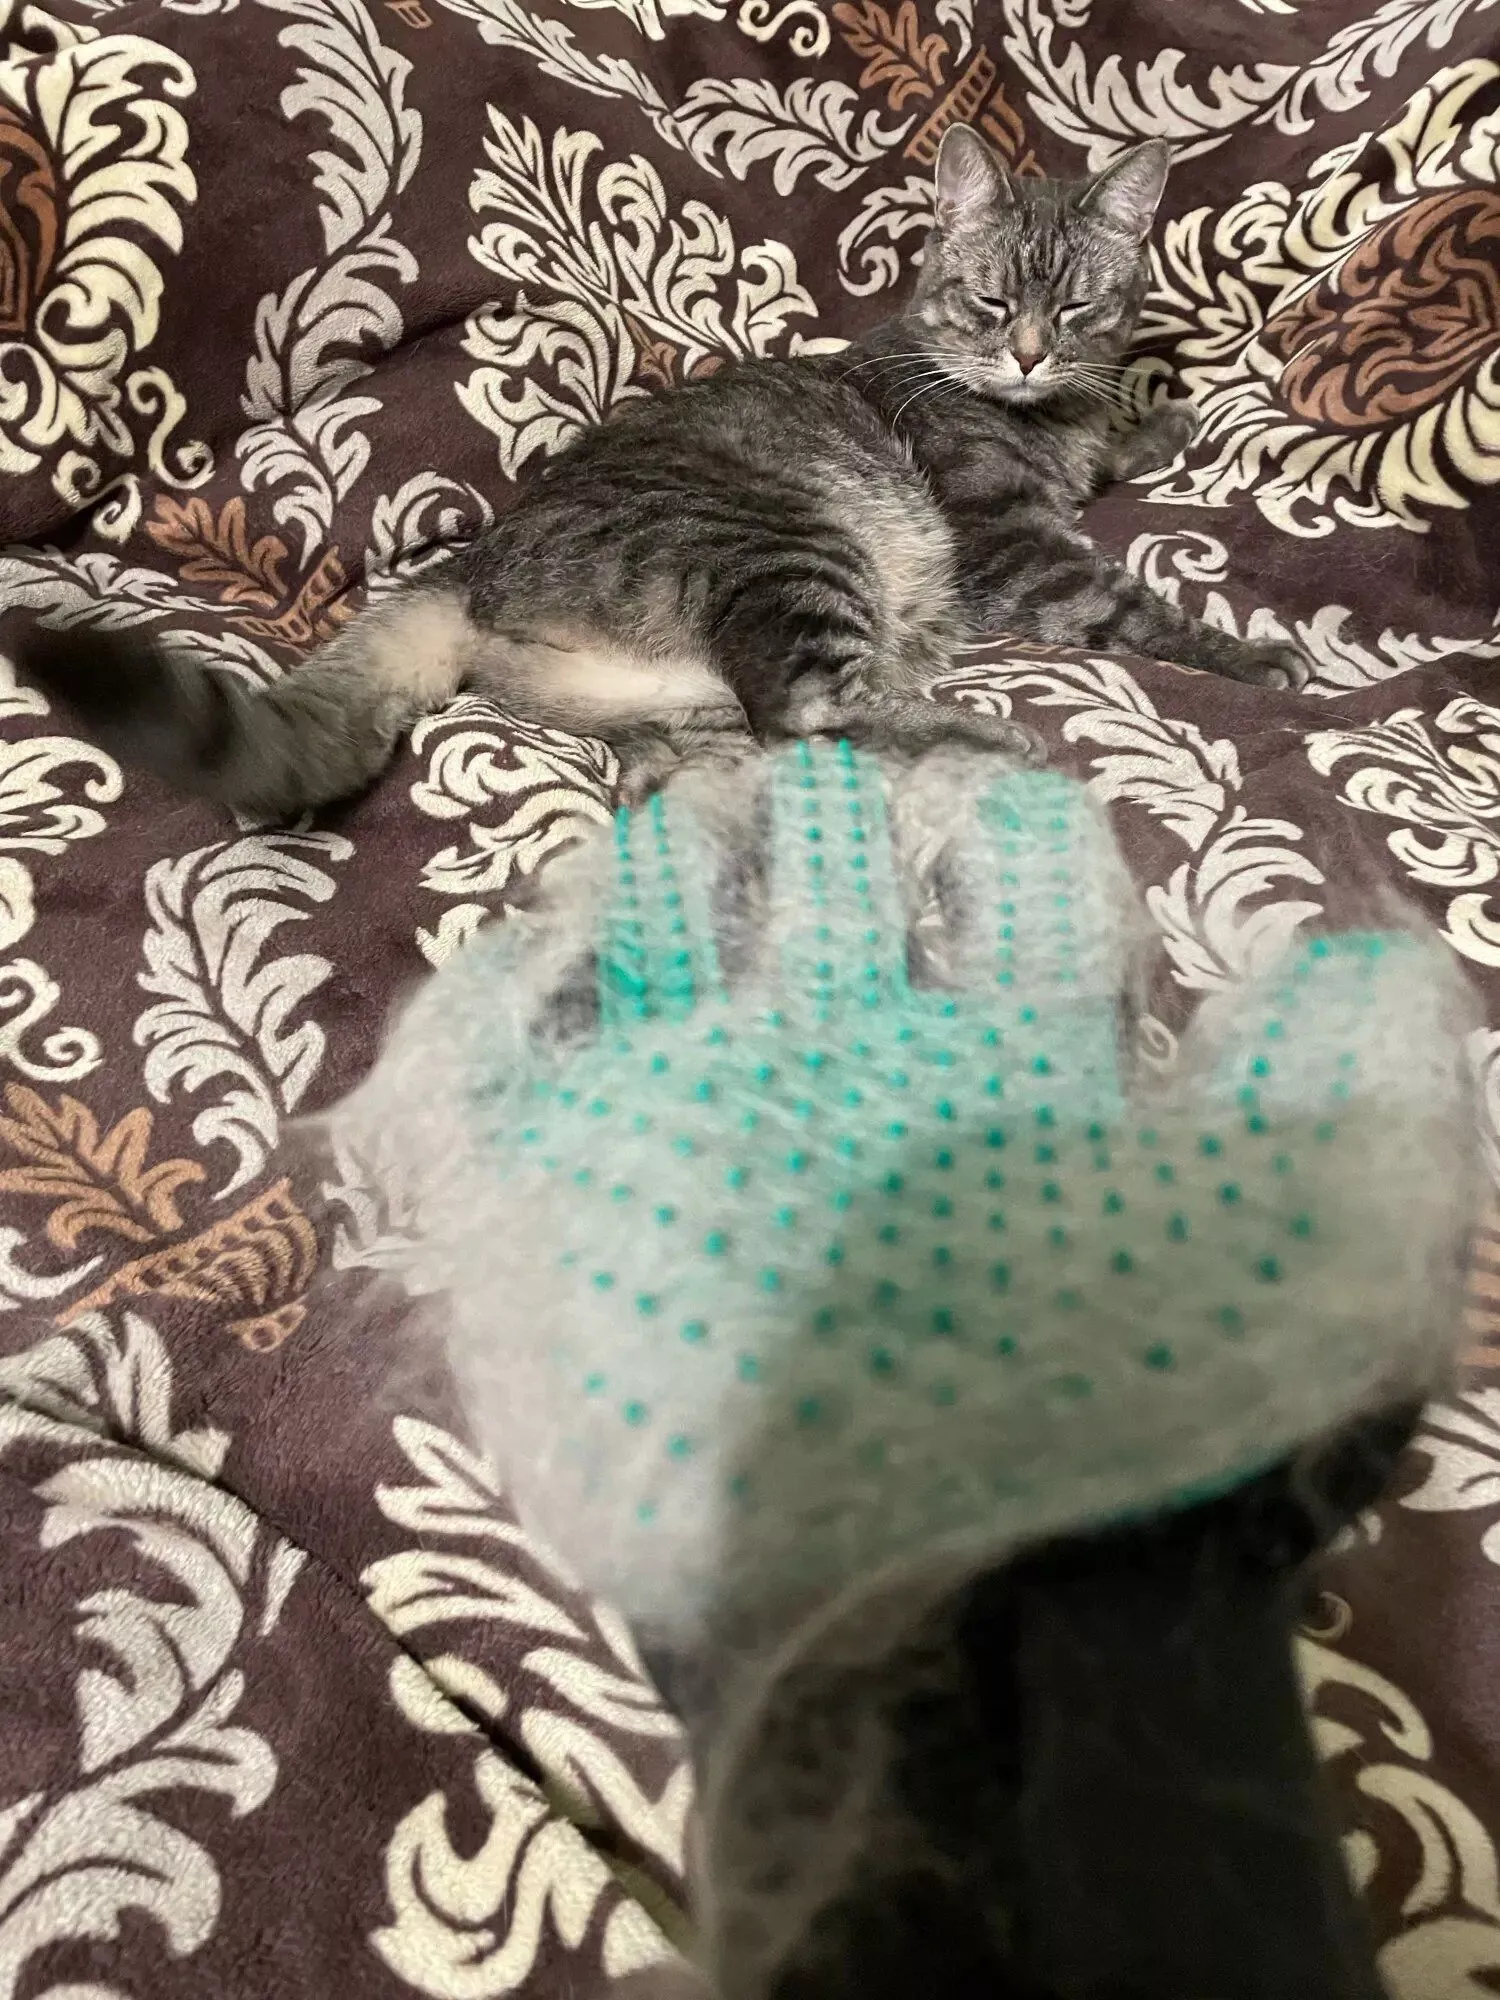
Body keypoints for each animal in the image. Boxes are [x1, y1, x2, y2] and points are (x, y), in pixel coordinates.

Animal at [17, 125, 1309, 817]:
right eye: (994, 301)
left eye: (1078, 305)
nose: (1031, 351)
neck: (1032, 411)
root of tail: (472, 565)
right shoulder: (1009, 542)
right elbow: (1130, 600)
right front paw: (1255, 654)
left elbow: (1113, 445)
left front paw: (1155, 423)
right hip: (791, 539)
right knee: (805, 710)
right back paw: (990, 740)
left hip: (658, 684)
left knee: (721, 742)